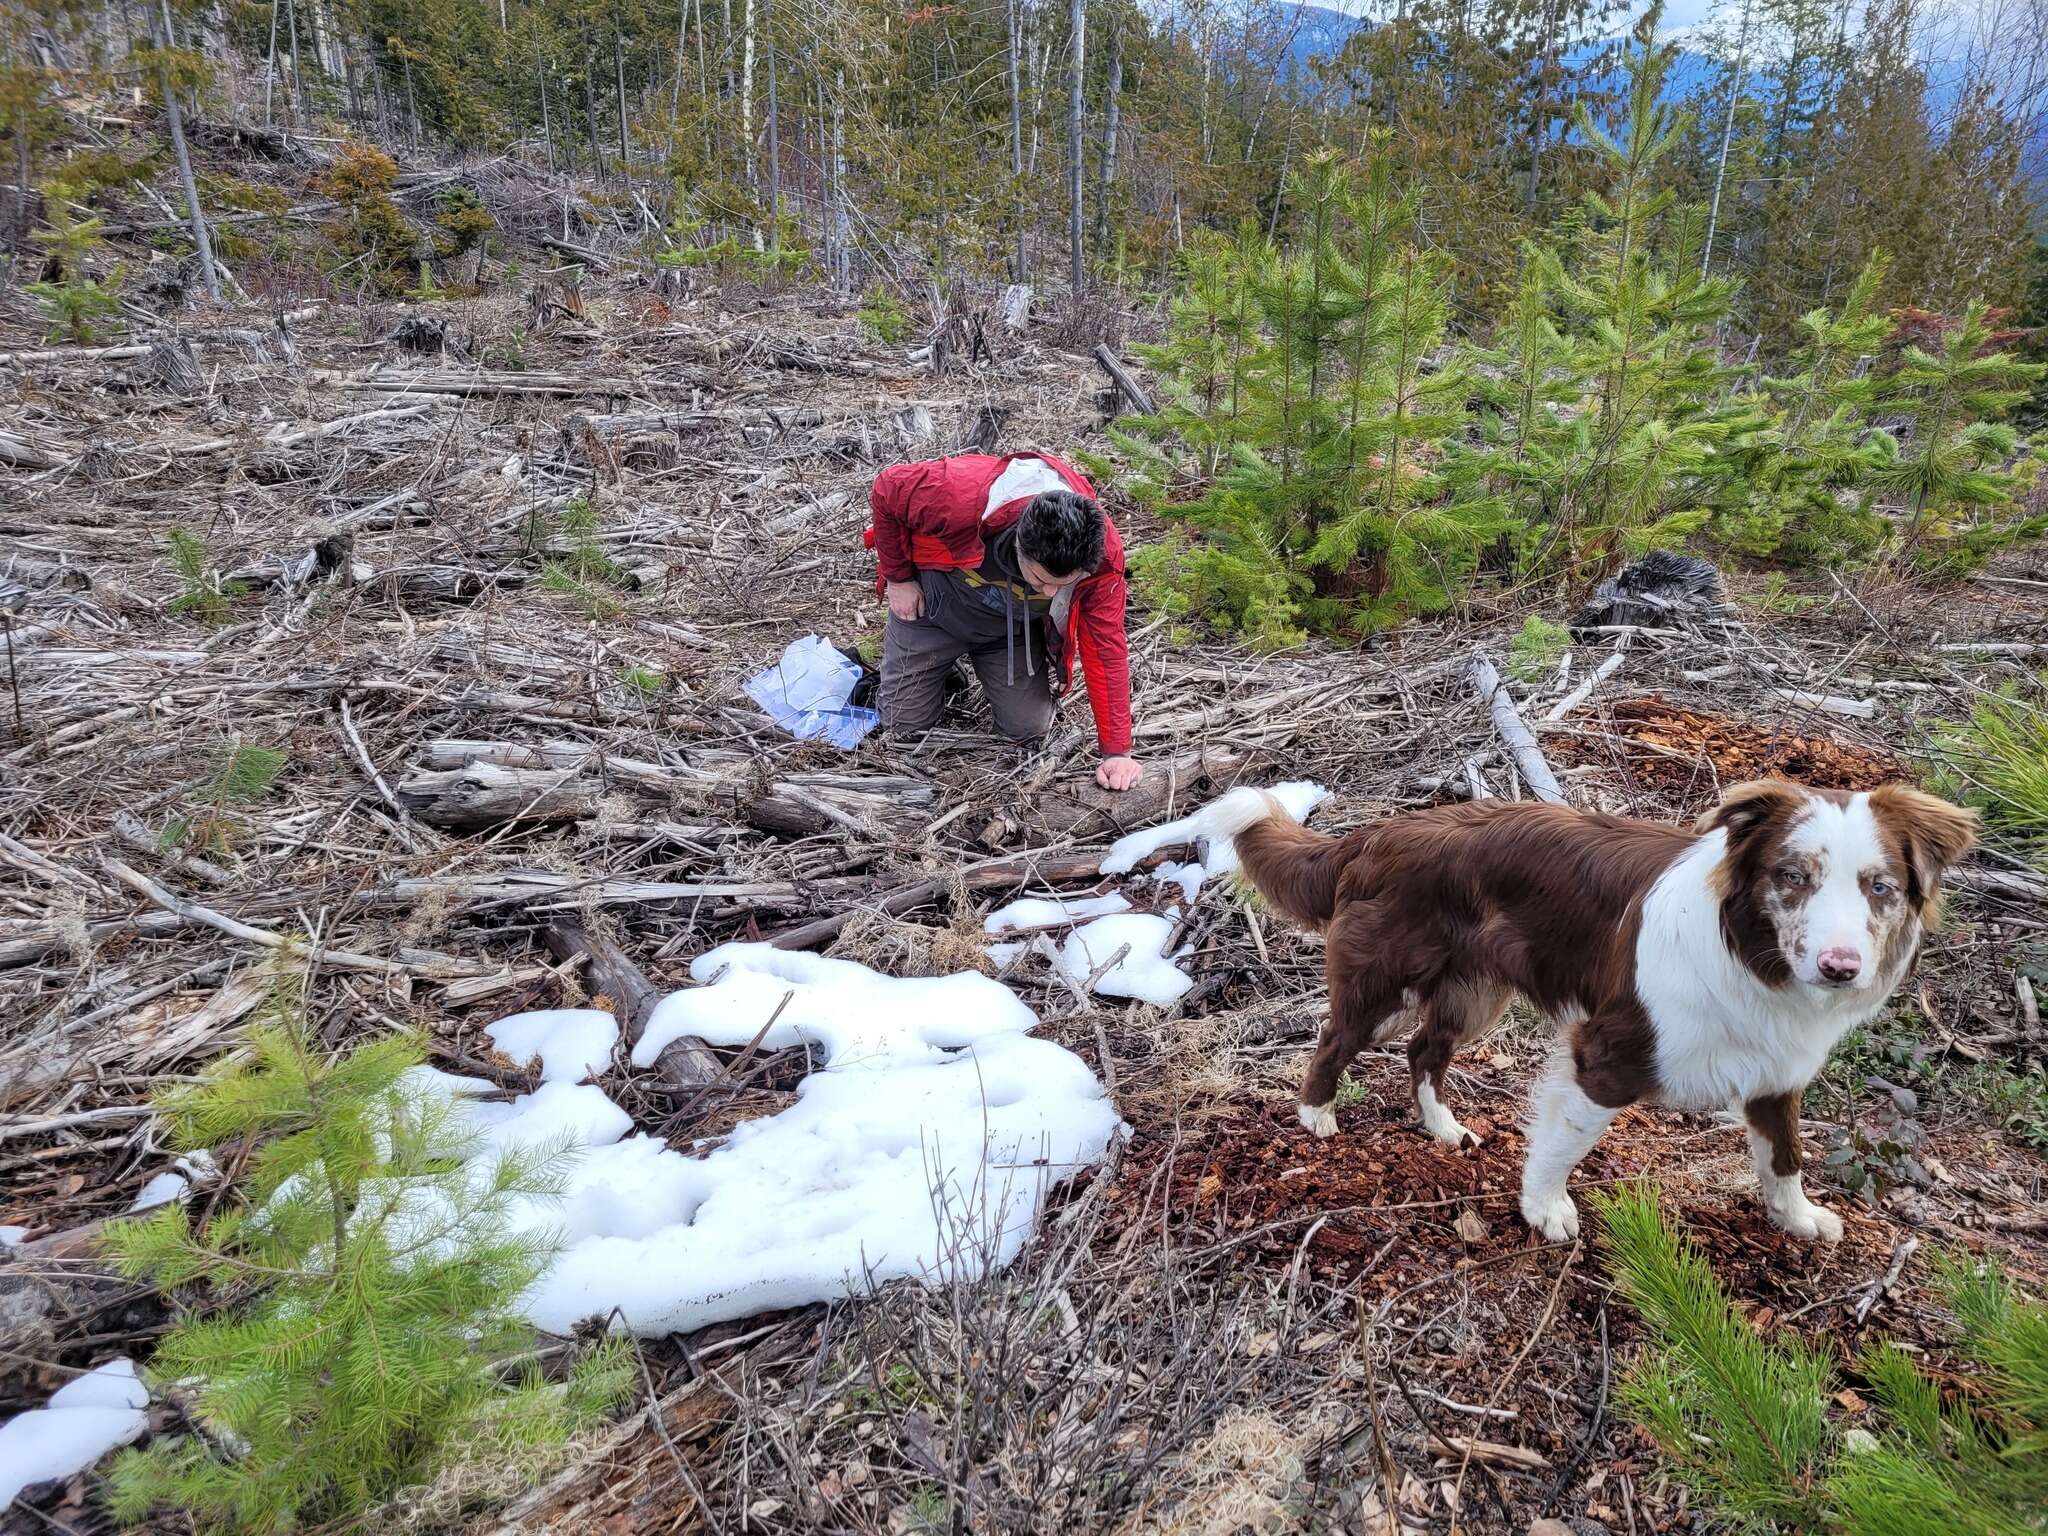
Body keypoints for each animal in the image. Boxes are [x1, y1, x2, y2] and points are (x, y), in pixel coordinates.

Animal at [1196, 786, 1974, 1245]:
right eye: (1791, 876)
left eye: (1879, 887)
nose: (1841, 967)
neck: (1753, 955)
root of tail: (1375, 834)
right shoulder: (1606, 1052)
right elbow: (1565, 1143)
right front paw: (1544, 1208)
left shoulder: (1777, 1069)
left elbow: (1784, 1155)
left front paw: (1799, 1217)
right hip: (1384, 981)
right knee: (1335, 1037)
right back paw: (1317, 1116)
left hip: (1476, 994)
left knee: (1423, 1052)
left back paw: (1442, 1128)